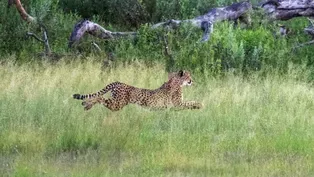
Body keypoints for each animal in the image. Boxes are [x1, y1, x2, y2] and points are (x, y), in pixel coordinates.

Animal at [72, 70, 202, 110]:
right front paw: (200, 105)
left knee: (99, 97)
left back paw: (85, 104)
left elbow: (190, 102)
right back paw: (87, 105)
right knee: (100, 98)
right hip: (118, 104)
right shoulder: (177, 104)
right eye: (188, 76)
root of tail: (119, 82)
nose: (192, 80)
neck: (176, 81)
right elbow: (191, 102)